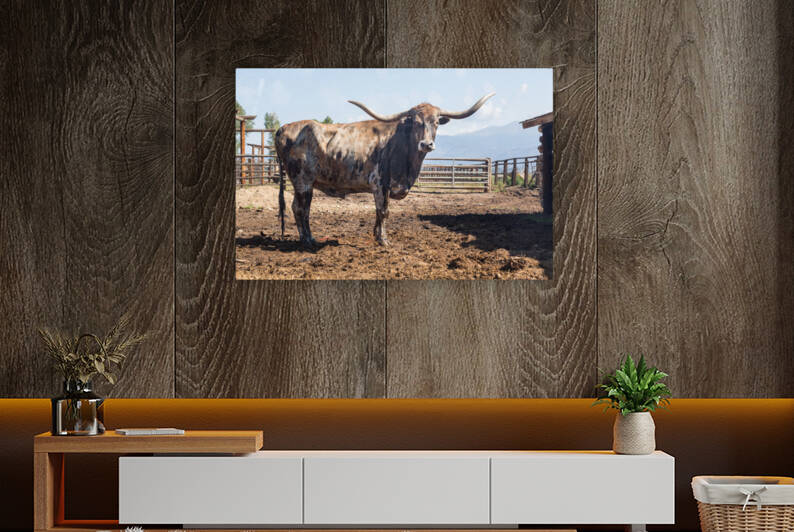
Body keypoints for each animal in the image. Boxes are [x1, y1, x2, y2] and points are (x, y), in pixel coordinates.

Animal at [274, 93, 494, 247]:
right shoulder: (379, 182)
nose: (426, 144)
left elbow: (379, 212)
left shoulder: (385, 187)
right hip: (303, 182)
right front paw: (383, 240)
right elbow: (383, 211)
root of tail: (284, 127)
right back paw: (308, 240)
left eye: (436, 122)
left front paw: (376, 235)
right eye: (416, 122)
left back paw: (307, 238)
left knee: (297, 208)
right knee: (302, 209)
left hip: (304, 184)